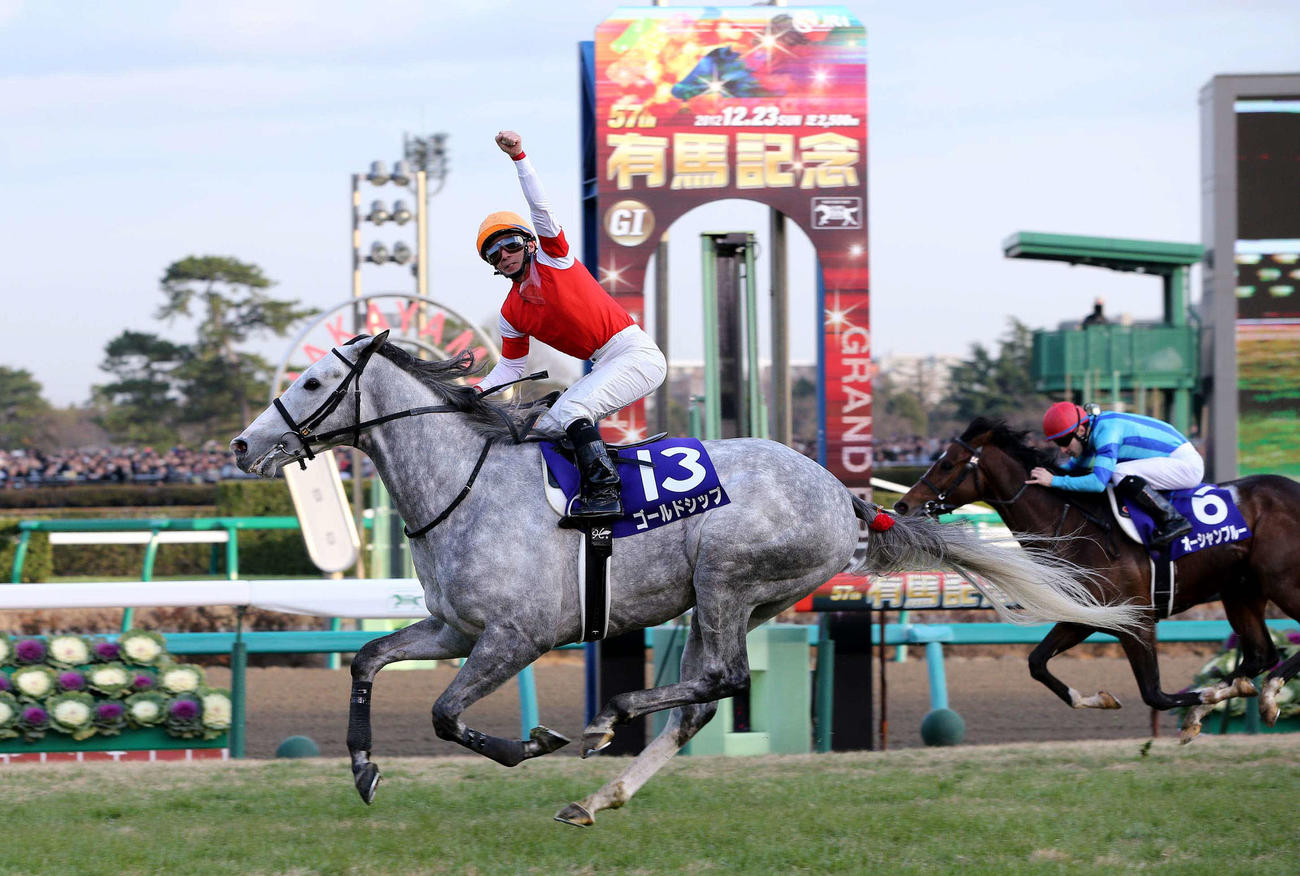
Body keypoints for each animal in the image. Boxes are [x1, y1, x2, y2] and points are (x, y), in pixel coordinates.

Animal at [229, 334, 1144, 826]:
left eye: (312, 382)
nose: (241, 445)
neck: (469, 481)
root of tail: (845, 495)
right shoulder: (456, 629)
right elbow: (367, 660)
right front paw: (361, 768)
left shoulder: (515, 637)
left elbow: (447, 715)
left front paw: (533, 742)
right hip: (737, 598)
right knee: (705, 695)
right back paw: (599, 796)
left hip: (726, 576)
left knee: (724, 678)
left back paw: (610, 720)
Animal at [893, 416, 1300, 741]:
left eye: (947, 463)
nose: (902, 504)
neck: (1076, 528)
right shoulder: (1084, 614)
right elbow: (1037, 663)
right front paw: (1101, 698)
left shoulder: (1136, 619)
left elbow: (1155, 694)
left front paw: (1208, 697)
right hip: (1242, 592)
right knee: (1261, 654)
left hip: (1284, 584)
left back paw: (1266, 695)